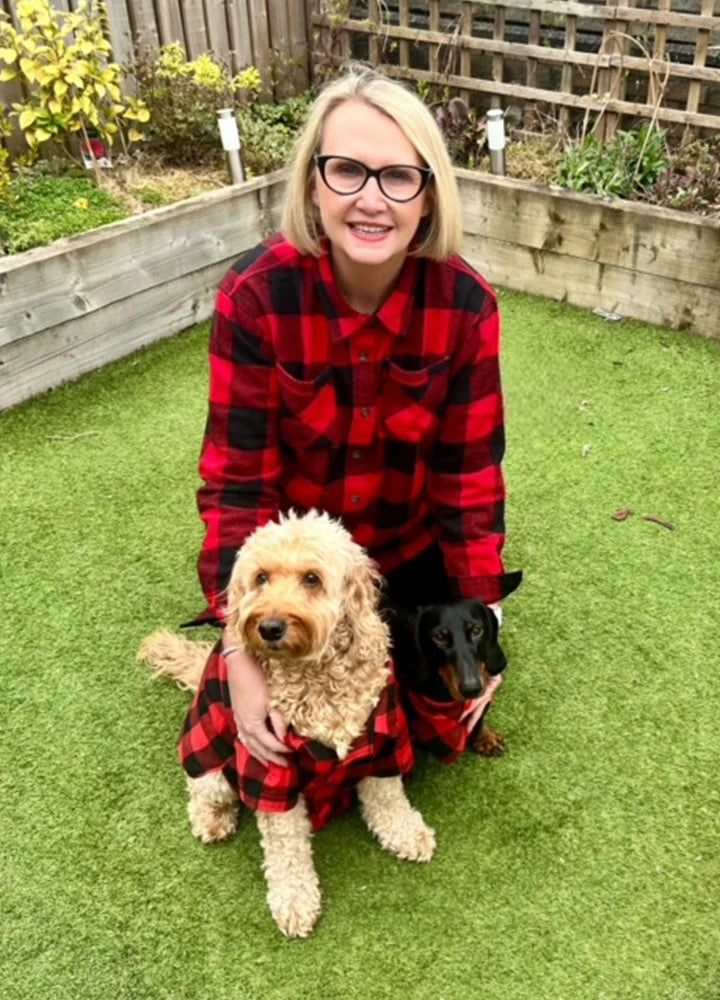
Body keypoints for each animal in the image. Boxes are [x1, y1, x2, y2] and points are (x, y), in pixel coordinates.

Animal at [139, 512, 436, 940]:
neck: (318, 677)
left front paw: (405, 832)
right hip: (213, 767)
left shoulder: (383, 737)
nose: (270, 626)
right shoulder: (269, 767)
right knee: (202, 789)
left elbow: (388, 796)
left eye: (312, 578)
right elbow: (286, 846)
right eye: (261, 577)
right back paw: (212, 817)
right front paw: (295, 900)